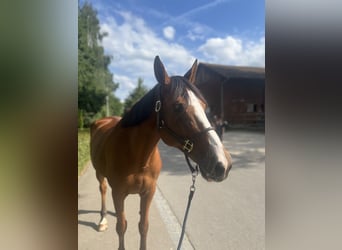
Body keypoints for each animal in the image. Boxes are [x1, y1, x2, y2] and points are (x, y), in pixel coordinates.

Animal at [90, 55, 232, 249]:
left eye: (204, 106)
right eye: (178, 106)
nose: (222, 163)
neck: (137, 157)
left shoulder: (149, 192)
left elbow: (143, 226)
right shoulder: (118, 193)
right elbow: (121, 227)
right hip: (99, 174)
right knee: (103, 189)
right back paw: (103, 219)